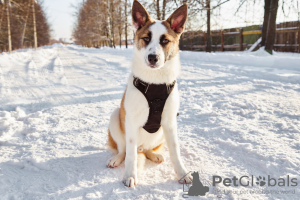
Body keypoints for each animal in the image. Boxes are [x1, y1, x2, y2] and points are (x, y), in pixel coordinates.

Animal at [106, 0, 191, 188]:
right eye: (146, 38)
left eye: (165, 40)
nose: (153, 58)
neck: (155, 82)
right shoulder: (130, 121)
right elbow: (130, 155)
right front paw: (130, 175)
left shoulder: (170, 122)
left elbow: (175, 151)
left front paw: (182, 173)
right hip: (116, 116)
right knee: (125, 150)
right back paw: (117, 159)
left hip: (161, 133)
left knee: (146, 149)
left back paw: (154, 155)